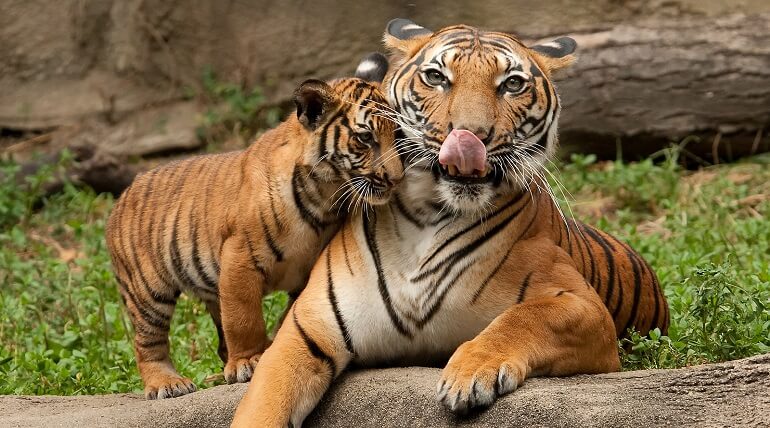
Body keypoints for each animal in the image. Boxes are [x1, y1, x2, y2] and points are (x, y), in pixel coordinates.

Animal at [105, 77, 403, 400]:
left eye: (398, 134)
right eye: (365, 138)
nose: (396, 179)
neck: (326, 197)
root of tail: (122, 196)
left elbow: (287, 318)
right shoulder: (240, 259)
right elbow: (243, 319)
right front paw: (247, 362)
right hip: (148, 290)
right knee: (148, 342)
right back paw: (167, 383)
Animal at [231, 19, 669, 427]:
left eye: (512, 84)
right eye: (437, 77)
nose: (470, 135)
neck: (427, 217)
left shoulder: (582, 305)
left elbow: (522, 318)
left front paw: (470, 373)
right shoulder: (307, 331)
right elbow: (264, 401)